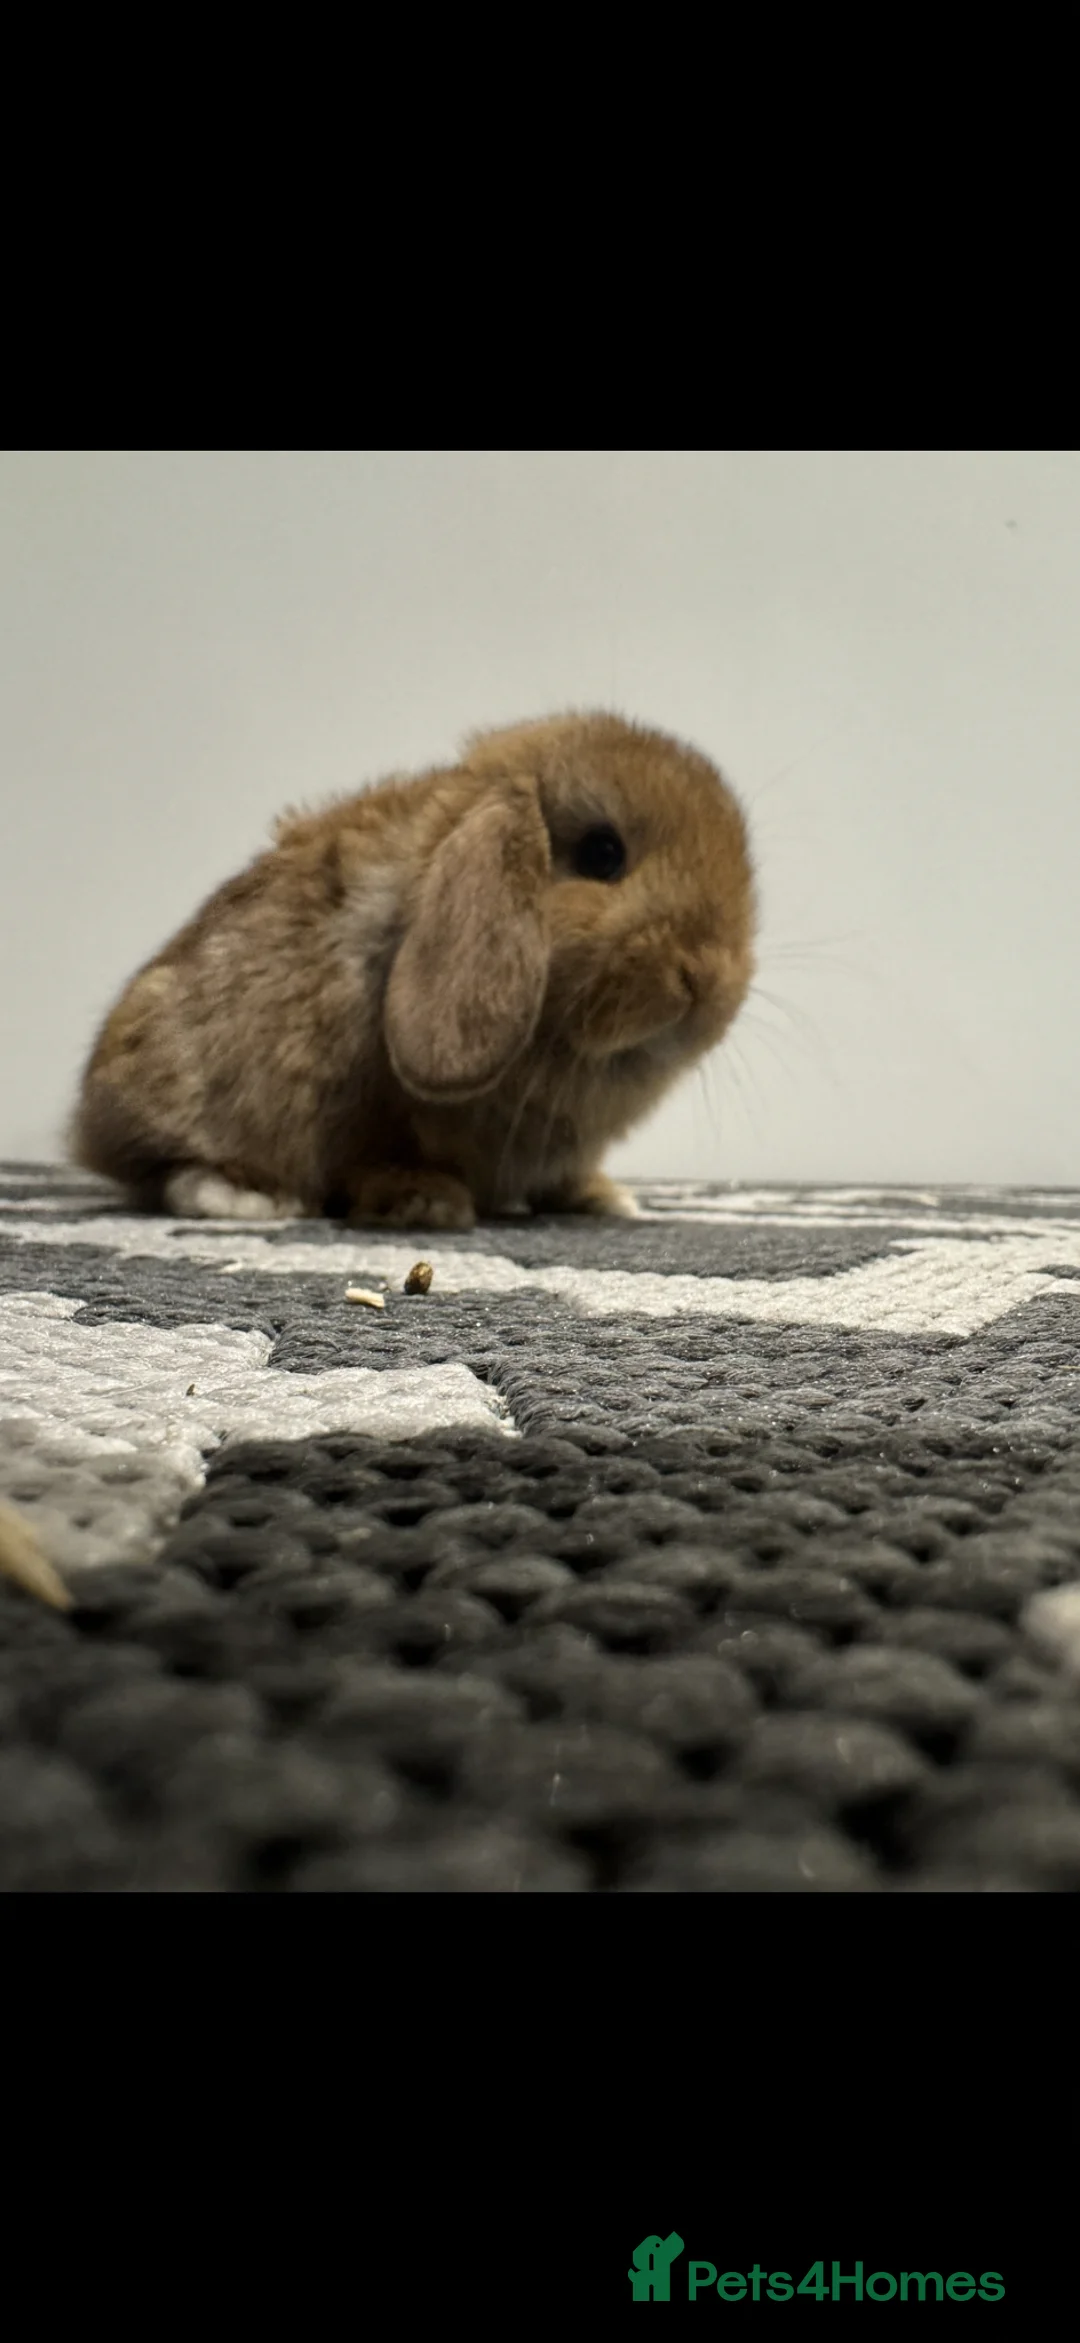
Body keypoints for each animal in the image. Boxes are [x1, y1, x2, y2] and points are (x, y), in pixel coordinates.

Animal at [70, 712, 756, 1228]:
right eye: (602, 853)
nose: (709, 980)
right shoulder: (367, 1104)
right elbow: (378, 1153)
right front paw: (426, 1202)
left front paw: (603, 1198)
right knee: (163, 1169)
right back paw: (245, 1198)